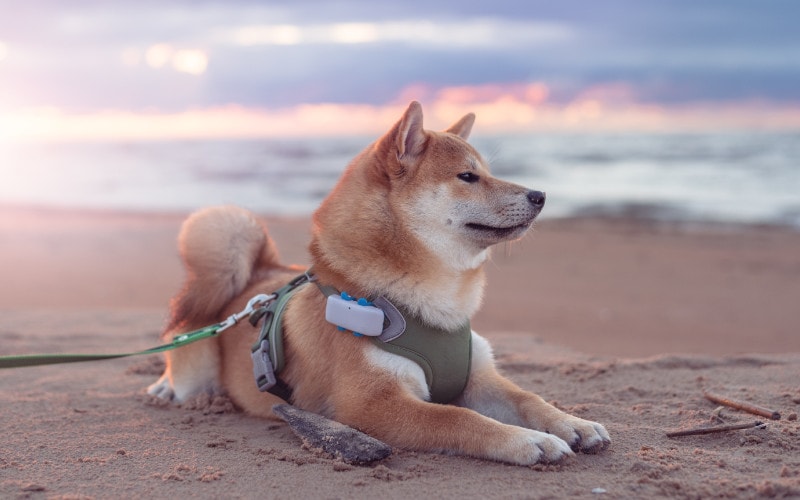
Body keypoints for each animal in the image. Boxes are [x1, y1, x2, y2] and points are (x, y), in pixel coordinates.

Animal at [147, 100, 608, 464]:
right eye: (468, 177)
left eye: (488, 173)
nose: (540, 196)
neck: (434, 306)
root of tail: (255, 279)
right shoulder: (371, 406)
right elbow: (458, 417)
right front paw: (528, 441)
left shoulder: (478, 378)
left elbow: (529, 398)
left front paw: (572, 423)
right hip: (196, 361)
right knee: (177, 356)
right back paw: (164, 387)